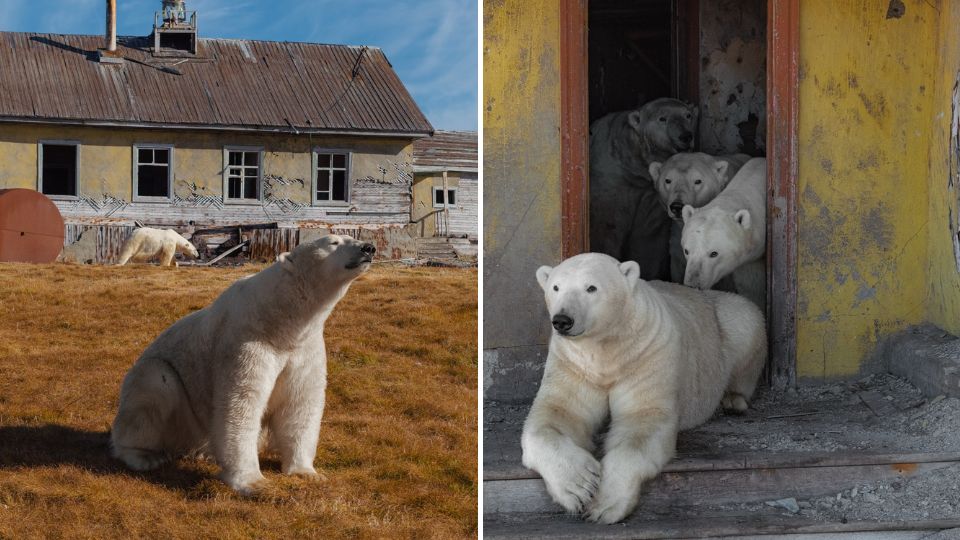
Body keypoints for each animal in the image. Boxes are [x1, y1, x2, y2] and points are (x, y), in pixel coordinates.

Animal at [110, 234, 376, 495]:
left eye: (351, 236)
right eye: (334, 242)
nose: (369, 248)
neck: (280, 319)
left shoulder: (304, 349)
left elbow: (300, 401)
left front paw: (307, 473)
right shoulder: (247, 341)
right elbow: (242, 402)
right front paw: (253, 482)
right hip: (176, 405)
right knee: (153, 390)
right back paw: (144, 456)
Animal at [522, 253, 766, 524]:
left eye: (591, 287)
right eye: (555, 287)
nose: (562, 320)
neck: (607, 348)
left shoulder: (646, 355)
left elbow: (642, 421)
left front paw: (604, 505)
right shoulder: (573, 363)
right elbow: (558, 413)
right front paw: (579, 486)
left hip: (728, 321)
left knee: (747, 321)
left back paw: (733, 400)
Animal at [589, 98, 698, 280]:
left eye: (688, 115)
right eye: (662, 118)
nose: (686, 136)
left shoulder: (650, 193)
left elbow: (648, 236)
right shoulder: (612, 182)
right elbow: (607, 225)